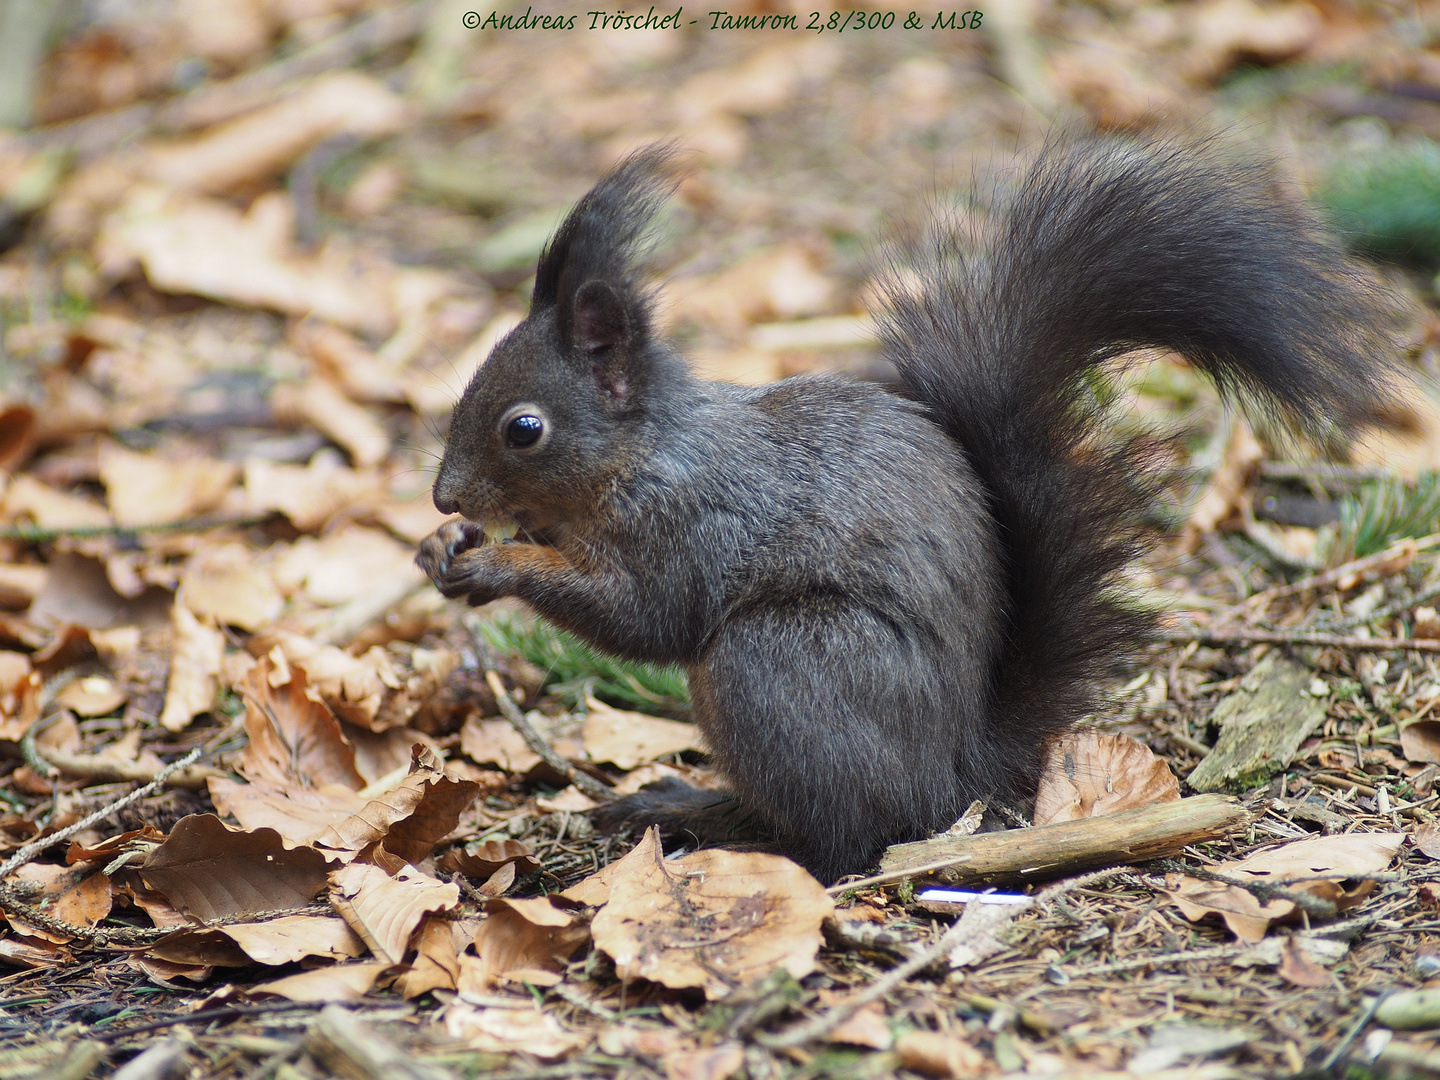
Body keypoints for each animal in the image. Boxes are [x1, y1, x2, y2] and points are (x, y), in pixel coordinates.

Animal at [420, 137, 1405, 887]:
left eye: (524, 429)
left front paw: (496, 562)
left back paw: (748, 845)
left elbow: (643, 616)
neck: (646, 453)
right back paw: (687, 804)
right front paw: (448, 547)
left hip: (777, 664)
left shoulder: (694, 524)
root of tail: (958, 769)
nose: (443, 494)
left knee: (848, 837)